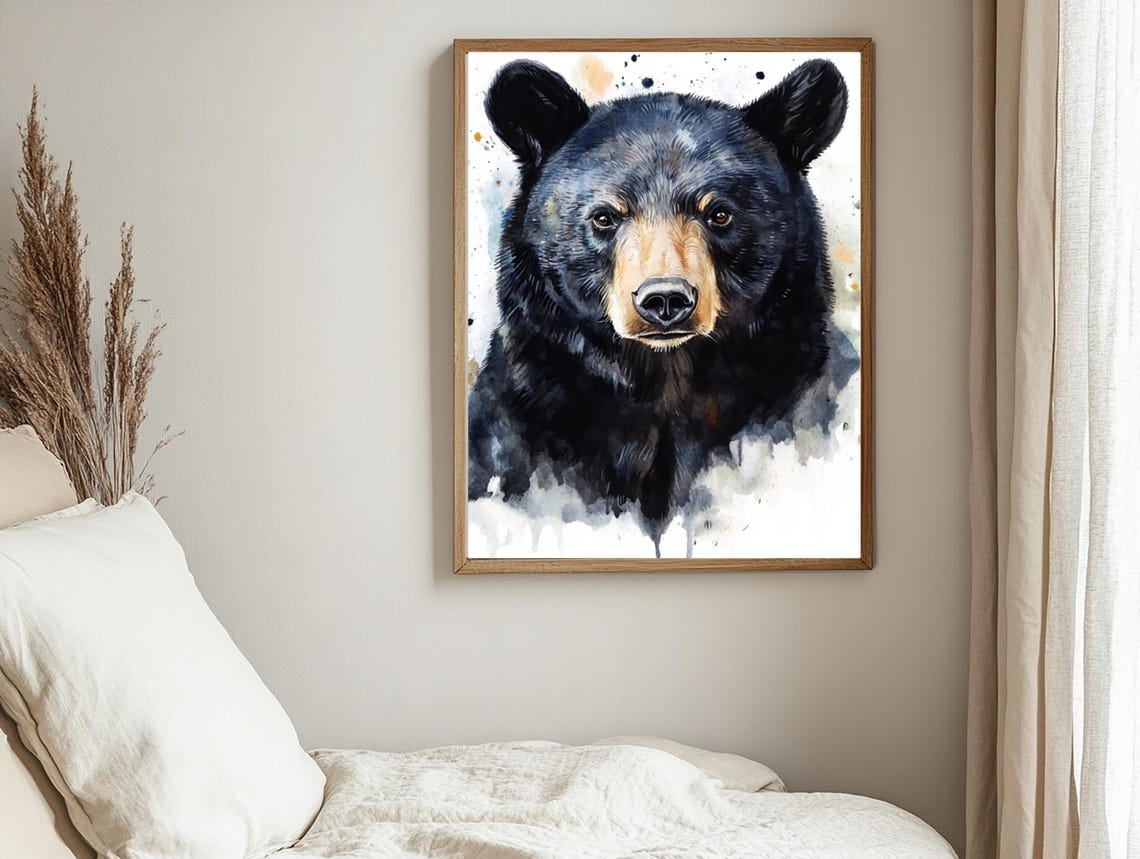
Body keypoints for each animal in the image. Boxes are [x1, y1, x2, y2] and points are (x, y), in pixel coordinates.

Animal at [467, 58, 851, 552]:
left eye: (719, 214)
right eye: (605, 217)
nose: (665, 299)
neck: (664, 379)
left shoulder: (792, 391)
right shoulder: (524, 414)